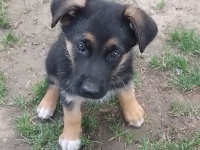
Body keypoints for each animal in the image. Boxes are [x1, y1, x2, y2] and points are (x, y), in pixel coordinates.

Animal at [36, 0, 157, 149]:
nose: (90, 91)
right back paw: (46, 105)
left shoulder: (125, 71)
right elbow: (72, 115)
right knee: (53, 83)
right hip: (52, 60)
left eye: (115, 53)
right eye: (81, 46)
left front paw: (133, 111)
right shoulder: (69, 88)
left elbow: (127, 92)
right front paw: (70, 138)